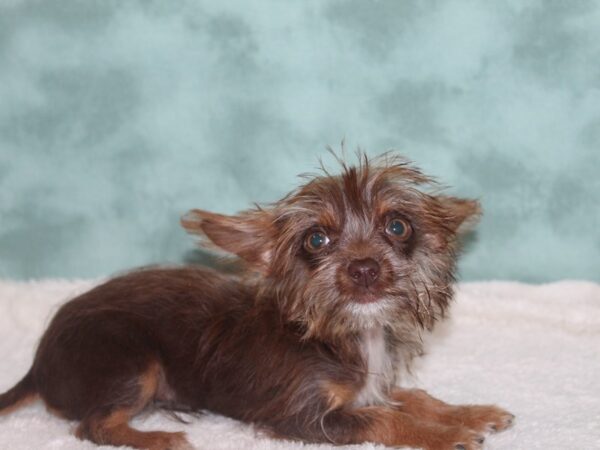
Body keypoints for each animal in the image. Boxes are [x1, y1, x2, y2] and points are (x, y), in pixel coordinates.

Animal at [1, 155, 510, 450]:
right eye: (317, 239)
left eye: (398, 226)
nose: (364, 268)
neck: (346, 334)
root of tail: (38, 363)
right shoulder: (302, 417)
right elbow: (383, 419)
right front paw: (448, 435)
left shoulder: (373, 386)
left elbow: (416, 398)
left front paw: (469, 413)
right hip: (131, 362)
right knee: (92, 426)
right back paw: (160, 437)